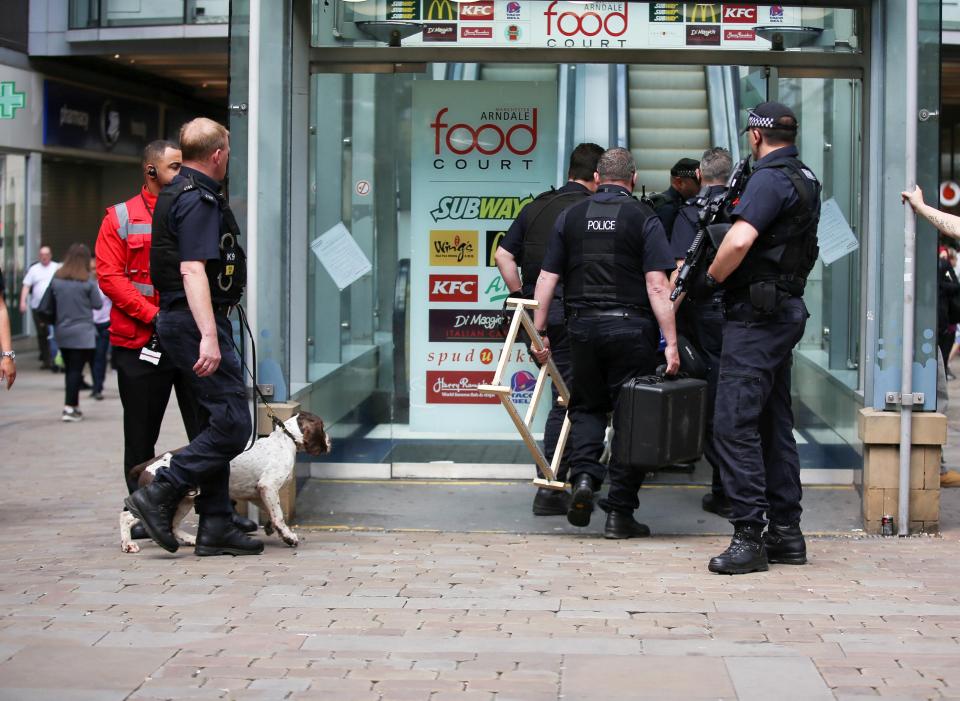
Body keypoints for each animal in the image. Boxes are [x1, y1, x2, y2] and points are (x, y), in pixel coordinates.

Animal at [119, 410, 330, 552]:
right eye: (322, 427)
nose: (329, 441)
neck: (285, 440)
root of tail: (149, 464)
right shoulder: (268, 486)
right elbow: (278, 514)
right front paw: (288, 536)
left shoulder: (256, 492)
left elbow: (272, 513)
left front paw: (273, 528)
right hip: (168, 501)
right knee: (127, 516)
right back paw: (128, 544)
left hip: (185, 500)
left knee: (173, 525)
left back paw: (189, 539)